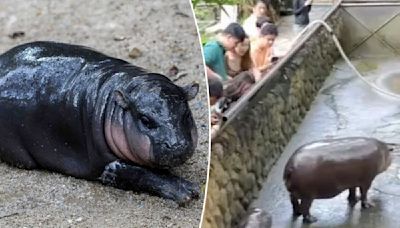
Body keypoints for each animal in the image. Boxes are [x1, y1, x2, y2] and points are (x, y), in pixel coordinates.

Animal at [0, 41, 200, 205]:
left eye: (186, 114)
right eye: (145, 120)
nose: (177, 145)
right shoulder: (107, 164)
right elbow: (141, 174)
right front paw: (188, 191)